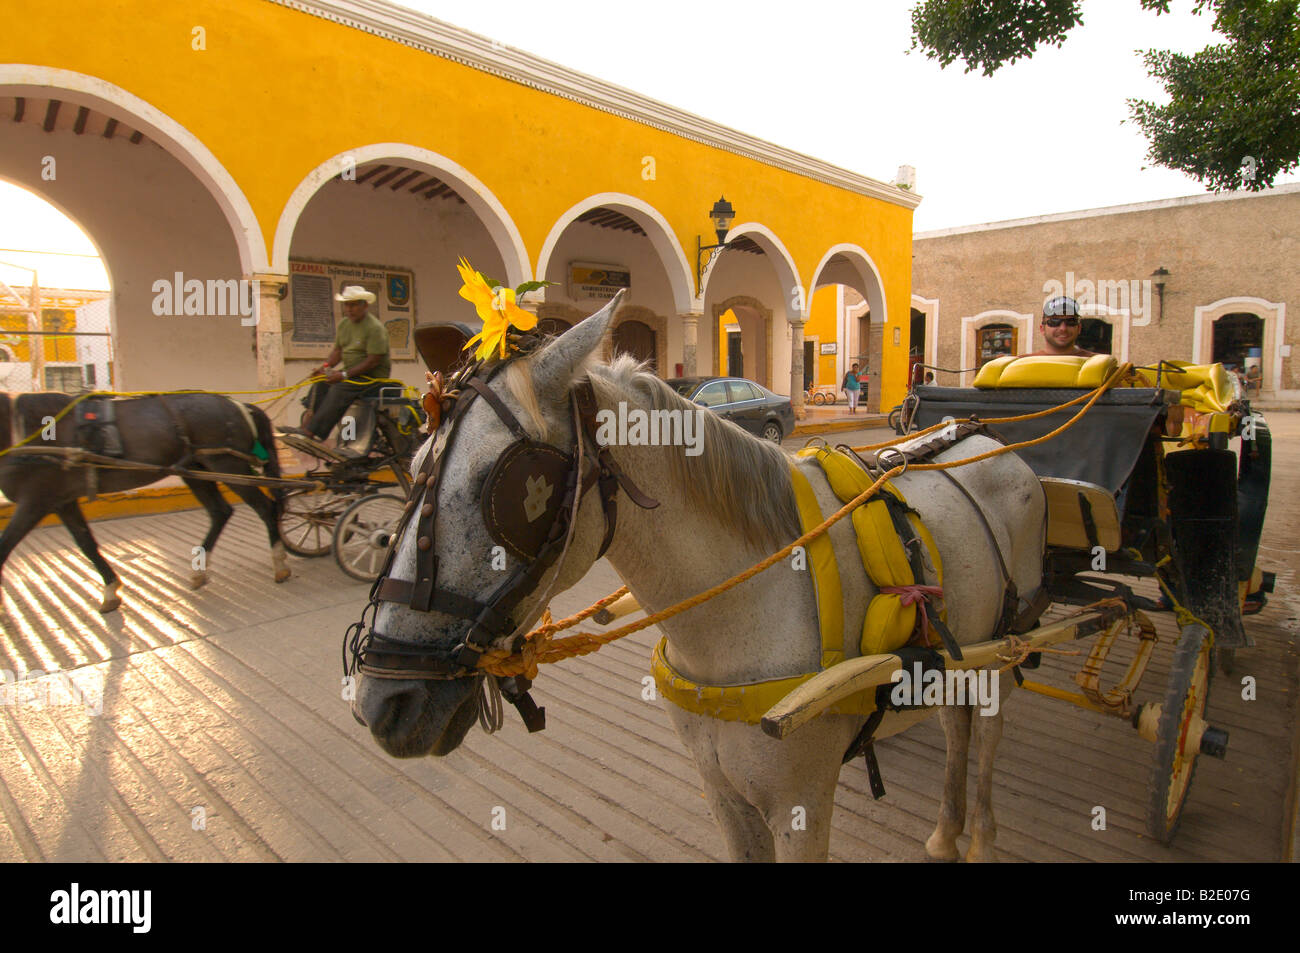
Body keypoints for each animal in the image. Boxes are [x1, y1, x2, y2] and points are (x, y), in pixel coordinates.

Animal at [0, 390, 289, 613]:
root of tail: (239, 405)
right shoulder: (61, 501)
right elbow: (86, 544)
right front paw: (110, 590)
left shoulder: (35, 501)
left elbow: (5, 547)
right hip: (195, 470)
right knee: (221, 511)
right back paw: (199, 571)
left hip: (228, 465)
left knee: (266, 508)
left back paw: (280, 563)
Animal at [356, 299, 1045, 863]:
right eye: (414, 464)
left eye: (502, 487)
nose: (383, 702)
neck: (748, 609)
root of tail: (986, 438)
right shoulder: (723, 794)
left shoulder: (801, 804)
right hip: (958, 650)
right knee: (956, 723)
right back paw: (946, 831)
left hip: (1008, 646)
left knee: (989, 729)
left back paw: (979, 839)